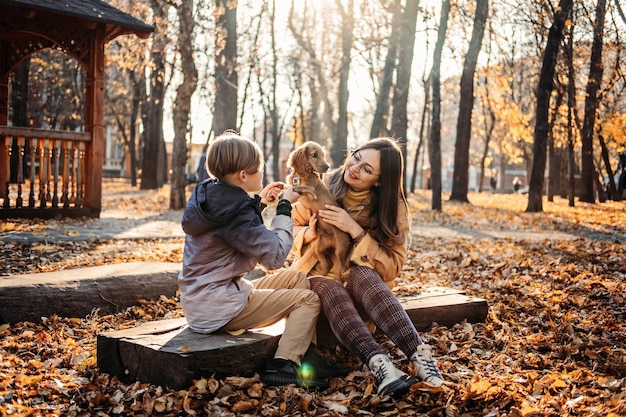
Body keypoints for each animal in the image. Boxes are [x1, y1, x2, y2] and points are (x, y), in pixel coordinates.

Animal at [286, 141, 352, 280]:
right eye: (314, 155)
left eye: (324, 155)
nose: (327, 167)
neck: (304, 174)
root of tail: (332, 242)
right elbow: (288, 186)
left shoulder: (311, 192)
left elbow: (301, 188)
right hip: (319, 246)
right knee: (327, 264)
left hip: (340, 250)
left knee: (339, 269)